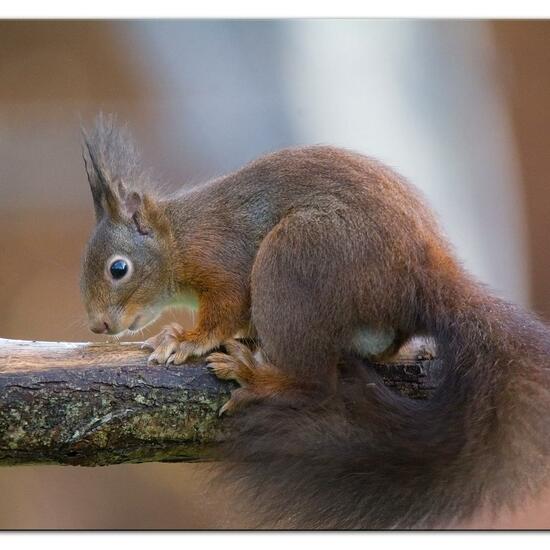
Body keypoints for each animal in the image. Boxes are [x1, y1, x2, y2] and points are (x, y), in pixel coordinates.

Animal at [81, 113, 550, 532]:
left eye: (118, 269)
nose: (99, 326)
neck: (178, 236)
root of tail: (417, 274)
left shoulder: (223, 259)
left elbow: (225, 310)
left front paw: (184, 339)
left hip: (295, 257)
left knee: (317, 384)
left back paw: (259, 377)